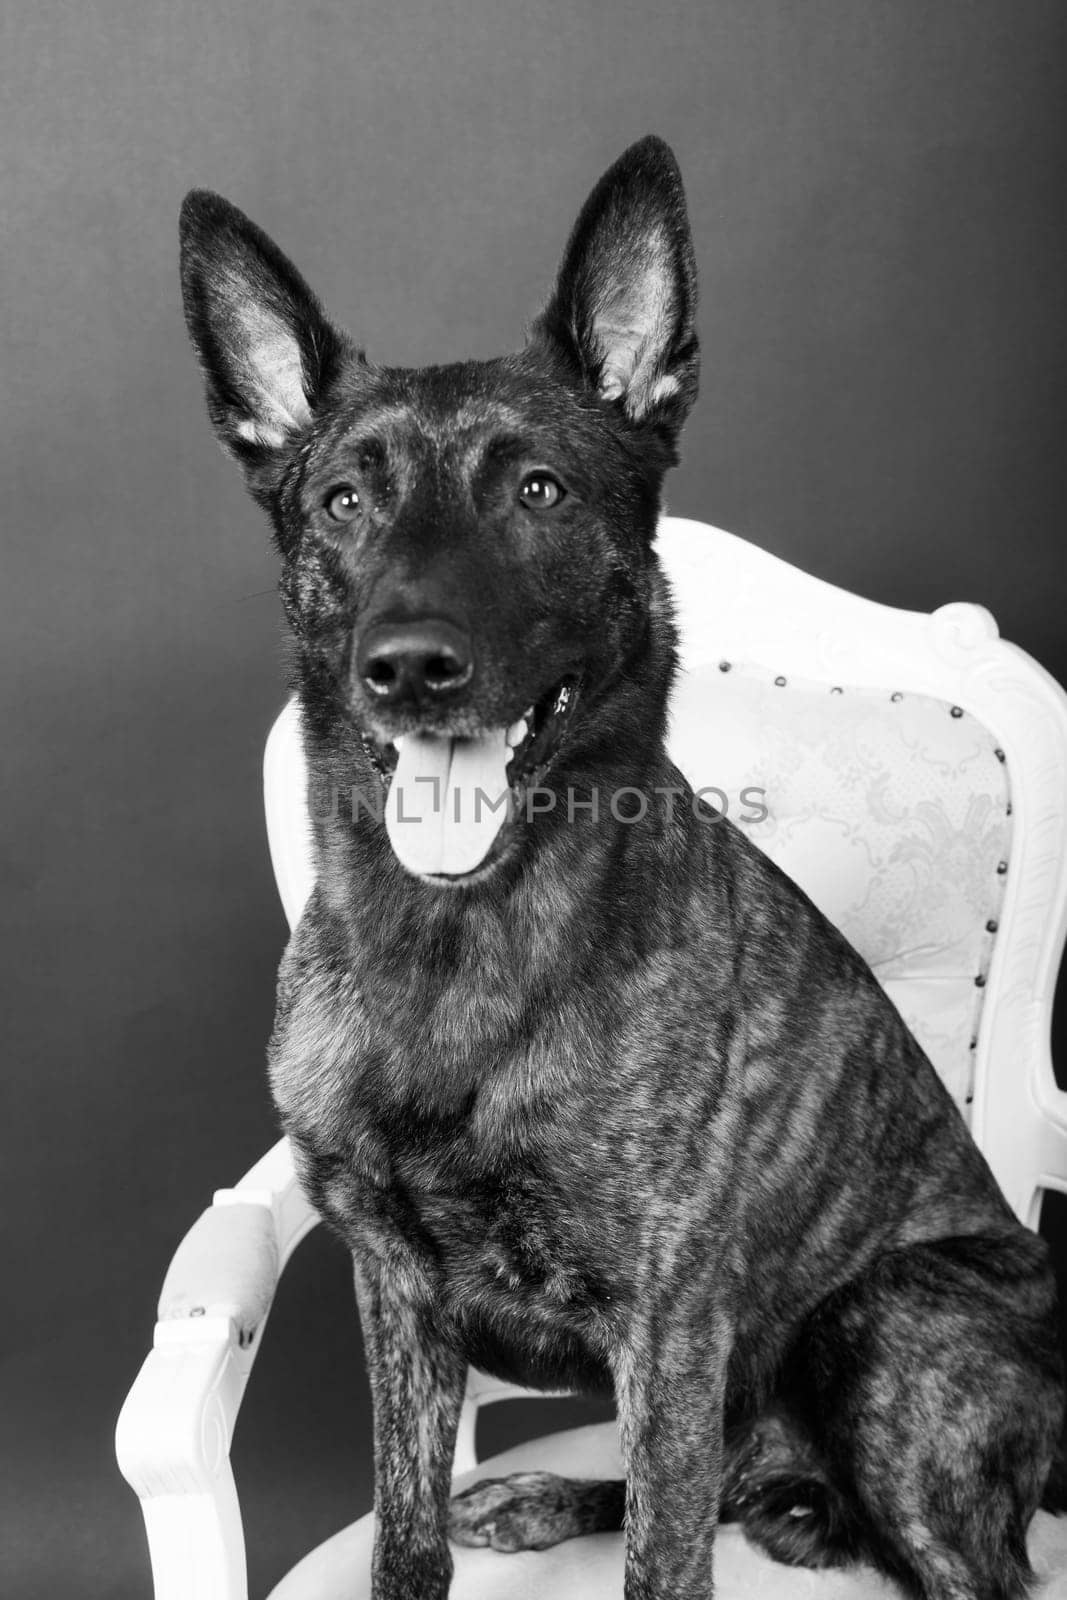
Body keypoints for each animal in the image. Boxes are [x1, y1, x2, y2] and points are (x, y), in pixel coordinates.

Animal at [179, 137, 1062, 1600]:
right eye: (344, 501)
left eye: (537, 490)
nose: (409, 666)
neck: (460, 943)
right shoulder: (393, 1285)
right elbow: (406, 1535)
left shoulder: (669, 1320)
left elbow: (661, 1557)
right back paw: (548, 1498)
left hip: (884, 1318)